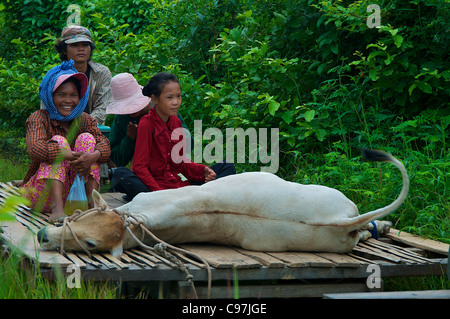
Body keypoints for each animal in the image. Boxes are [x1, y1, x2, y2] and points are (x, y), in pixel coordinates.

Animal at [37, 149, 408, 258]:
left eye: (90, 242)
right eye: (80, 219)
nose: (42, 236)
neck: (138, 220)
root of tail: (340, 220)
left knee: (368, 227)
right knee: (362, 231)